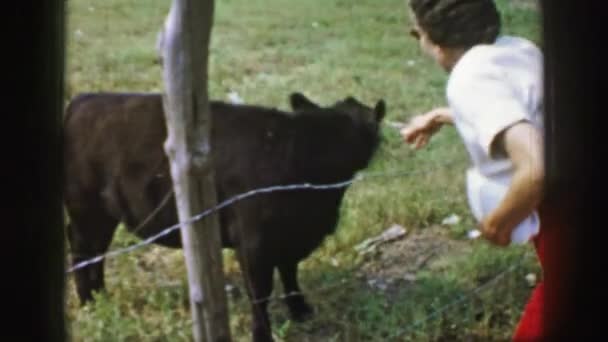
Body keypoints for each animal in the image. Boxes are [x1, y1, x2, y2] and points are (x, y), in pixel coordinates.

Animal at [64, 89, 388, 340]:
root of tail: (83, 100)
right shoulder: (254, 243)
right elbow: (260, 293)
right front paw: (262, 334)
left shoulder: (290, 239)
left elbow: (290, 273)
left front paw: (300, 310)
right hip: (84, 208)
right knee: (82, 252)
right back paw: (88, 301)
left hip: (104, 215)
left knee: (97, 253)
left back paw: (99, 296)